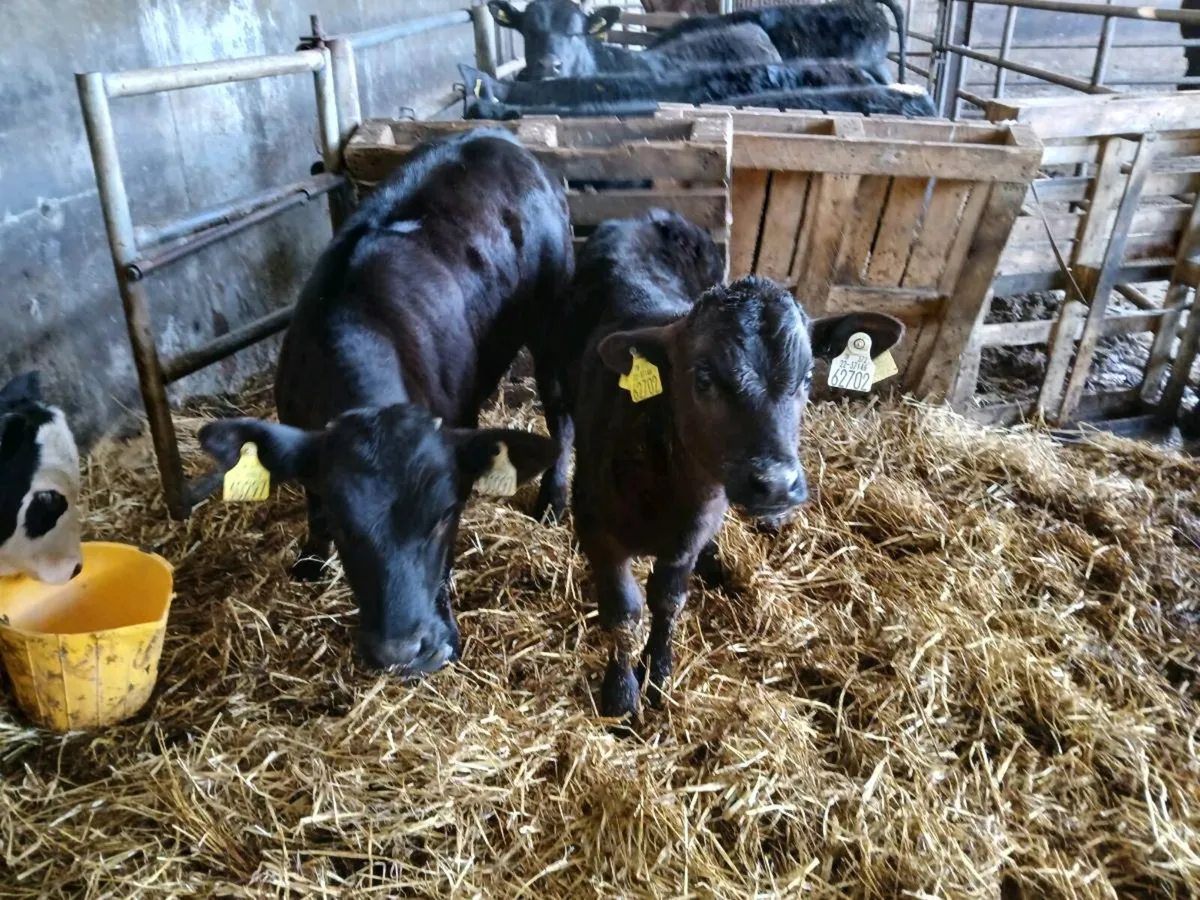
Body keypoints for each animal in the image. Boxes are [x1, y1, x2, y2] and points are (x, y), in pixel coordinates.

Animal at [197, 129, 572, 676]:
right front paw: (311, 559)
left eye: (444, 516)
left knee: (561, 416)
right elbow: (311, 505)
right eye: (342, 521)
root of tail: (499, 138)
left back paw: (553, 498)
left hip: (551, 326)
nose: (403, 651)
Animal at [544, 210, 904, 721]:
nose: (776, 484)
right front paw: (620, 694)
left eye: (807, 377)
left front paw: (658, 676)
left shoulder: (688, 538)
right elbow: (623, 609)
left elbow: (668, 601)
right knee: (560, 429)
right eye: (703, 377)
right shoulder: (596, 526)